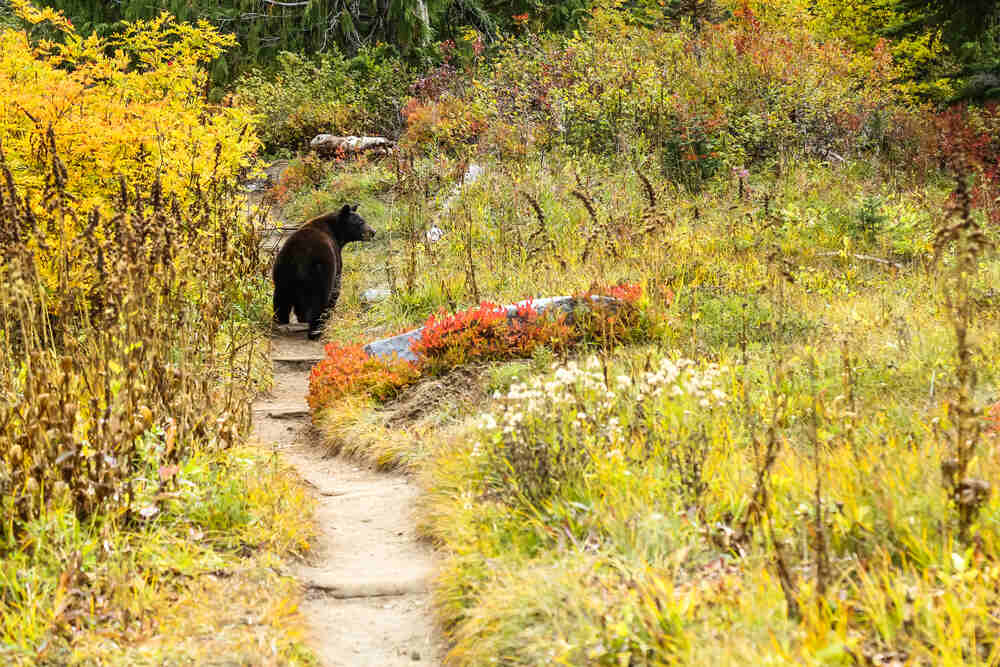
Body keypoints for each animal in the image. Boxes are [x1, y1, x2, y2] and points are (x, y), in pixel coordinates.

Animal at [272, 204, 376, 340]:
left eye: (363, 220)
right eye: (360, 222)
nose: (373, 232)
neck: (336, 232)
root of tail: (299, 256)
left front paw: (302, 317)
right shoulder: (336, 258)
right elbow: (336, 287)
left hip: (283, 271)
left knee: (281, 298)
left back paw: (281, 321)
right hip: (320, 271)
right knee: (319, 300)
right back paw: (316, 330)